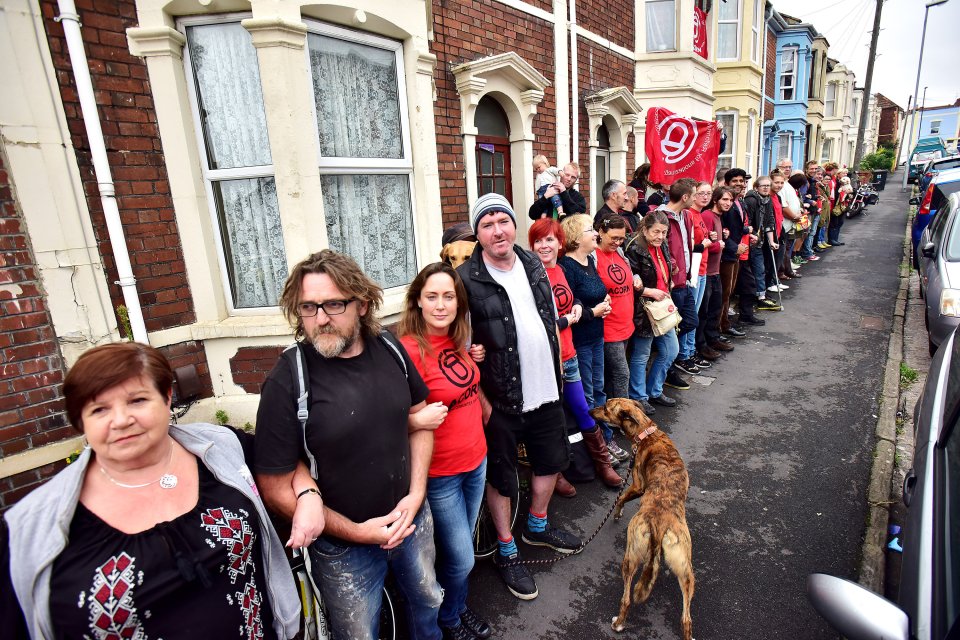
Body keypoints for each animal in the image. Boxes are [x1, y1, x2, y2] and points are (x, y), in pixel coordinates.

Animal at [588, 398, 692, 636]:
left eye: (606, 408)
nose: (589, 410)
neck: (647, 431)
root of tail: (659, 524)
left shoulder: (637, 485)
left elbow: (620, 498)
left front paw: (617, 513)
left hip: (631, 556)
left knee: (626, 599)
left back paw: (618, 623)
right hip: (685, 569)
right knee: (686, 619)